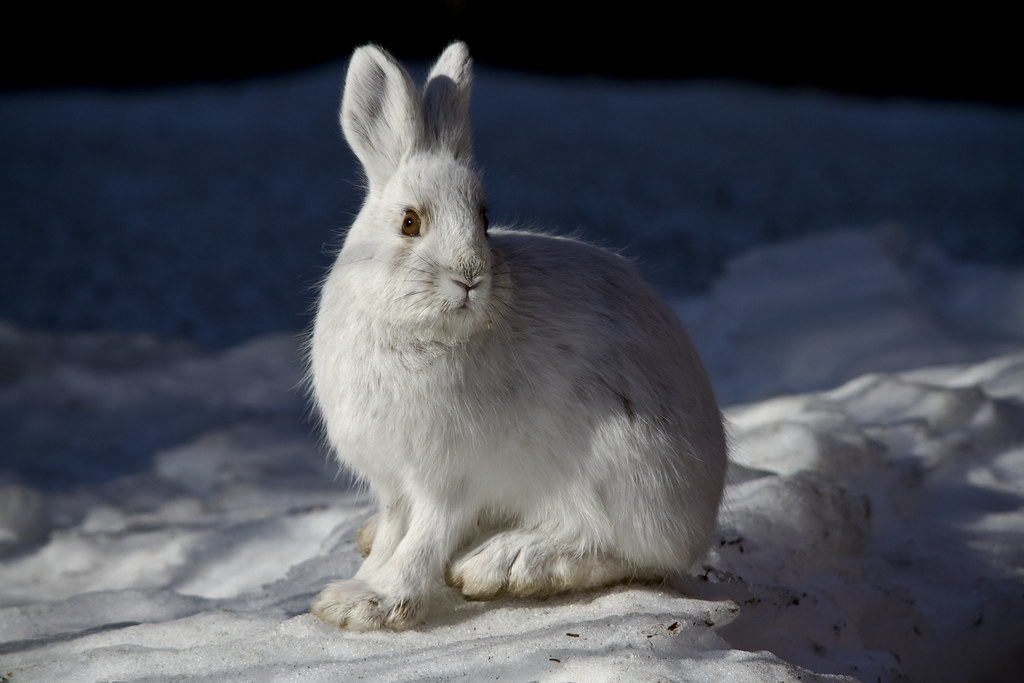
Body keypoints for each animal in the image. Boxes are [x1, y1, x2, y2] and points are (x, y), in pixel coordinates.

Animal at [309, 41, 727, 631]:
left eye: (485, 219)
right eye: (410, 222)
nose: (470, 276)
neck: (426, 331)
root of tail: (702, 510)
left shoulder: (449, 478)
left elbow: (424, 538)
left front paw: (376, 602)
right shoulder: (393, 481)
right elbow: (395, 530)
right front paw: (352, 591)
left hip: (621, 466)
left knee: (621, 549)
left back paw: (507, 562)